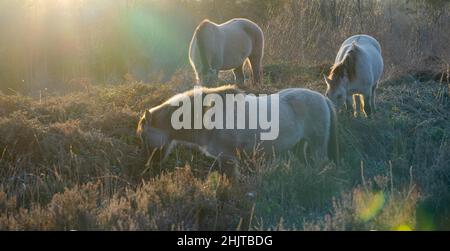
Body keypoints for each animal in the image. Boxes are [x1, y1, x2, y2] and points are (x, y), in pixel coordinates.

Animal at [137, 86, 338, 178]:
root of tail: (323, 98)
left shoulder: (228, 158)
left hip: (317, 146)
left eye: (143, 136)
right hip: (300, 146)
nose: (150, 166)